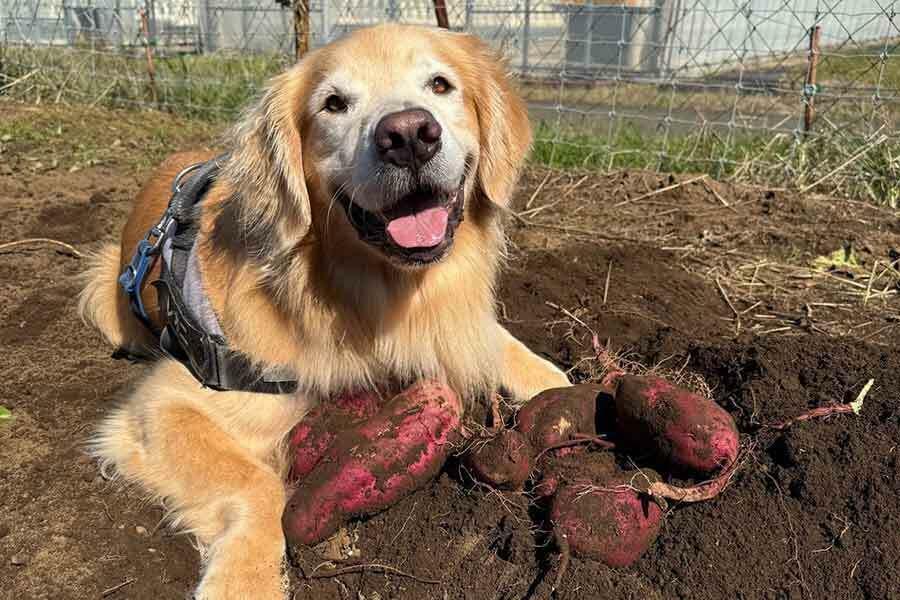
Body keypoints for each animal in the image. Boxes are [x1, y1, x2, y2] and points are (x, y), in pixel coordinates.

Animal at [77, 24, 568, 600]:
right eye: (333, 104)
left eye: (440, 84)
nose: (408, 135)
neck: (376, 296)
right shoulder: (167, 404)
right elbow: (258, 484)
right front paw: (245, 582)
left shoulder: (457, 325)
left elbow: (519, 354)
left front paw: (571, 391)